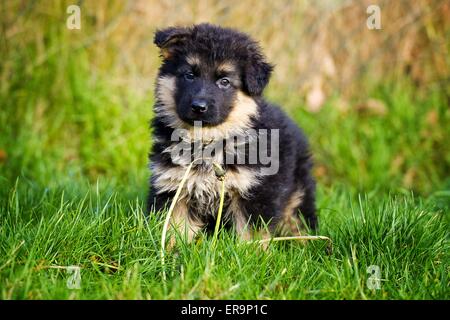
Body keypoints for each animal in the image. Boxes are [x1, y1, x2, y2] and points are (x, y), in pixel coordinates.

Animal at [148, 23, 316, 242]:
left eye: (225, 81)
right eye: (189, 75)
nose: (198, 107)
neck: (207, 140)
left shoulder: (254, 191)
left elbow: (250, 234)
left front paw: (249, 251)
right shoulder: (175, 187)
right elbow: (174, 229)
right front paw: (170, 250)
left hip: (297, 191)